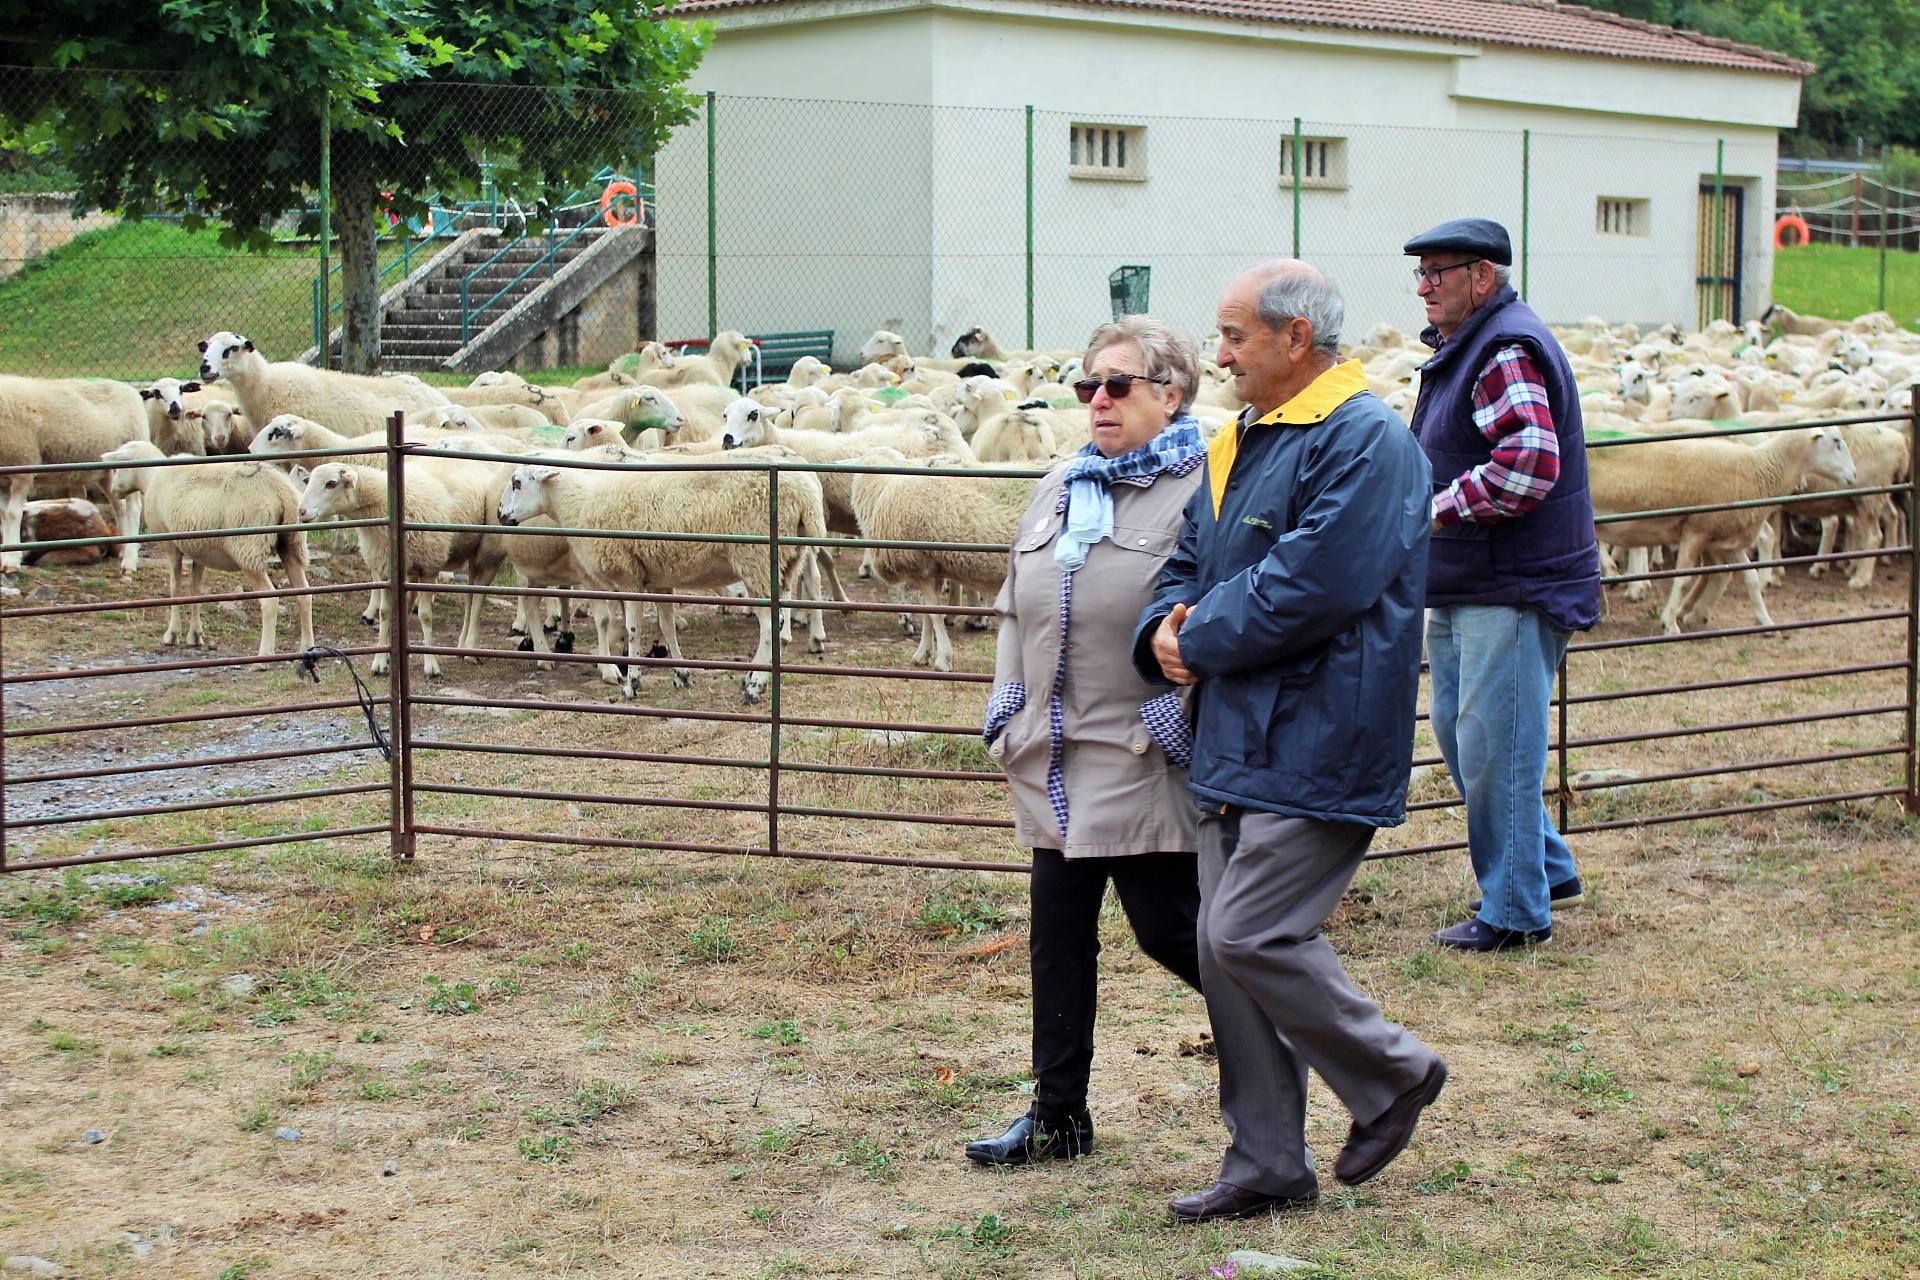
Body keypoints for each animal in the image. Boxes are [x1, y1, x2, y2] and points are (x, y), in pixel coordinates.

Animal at [102, 443, 312, 660]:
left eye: (118, 467)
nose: (113, 490)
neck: (151, 476)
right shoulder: (199, 550)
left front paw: (172, 635)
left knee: (270, 600)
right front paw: (195, 635)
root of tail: (281, 491)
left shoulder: (170, 544)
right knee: (305, 594)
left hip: (248, 547)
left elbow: (174, 588)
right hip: (292, 543)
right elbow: (196, 590)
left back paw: (264, 655)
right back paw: (307, 647)